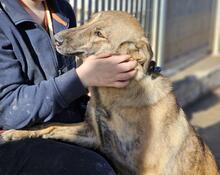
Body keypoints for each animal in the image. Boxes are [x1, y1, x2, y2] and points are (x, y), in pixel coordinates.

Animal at [0, 11, 219, 175]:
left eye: (99, 34)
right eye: (90, 19)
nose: (56, 39)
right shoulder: (93, 135)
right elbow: (51, 126)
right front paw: (16, 133)